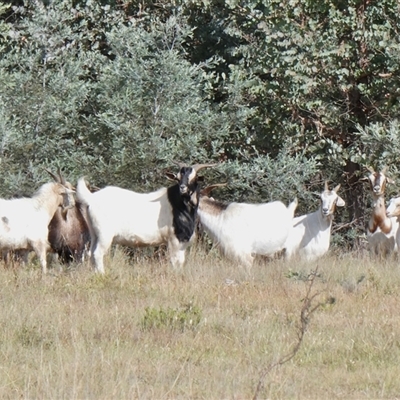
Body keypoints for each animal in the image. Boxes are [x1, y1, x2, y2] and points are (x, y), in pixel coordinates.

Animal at [74, 164, 212, 274]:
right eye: (177, 178)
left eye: (194, 178)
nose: (182, 188)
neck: (179, 203)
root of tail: (91, 198)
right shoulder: (174, 240)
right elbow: (176, 261)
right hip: (105, 235)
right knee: (97, 254)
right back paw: (102, 275)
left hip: (94, 233)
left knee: (91, 253)